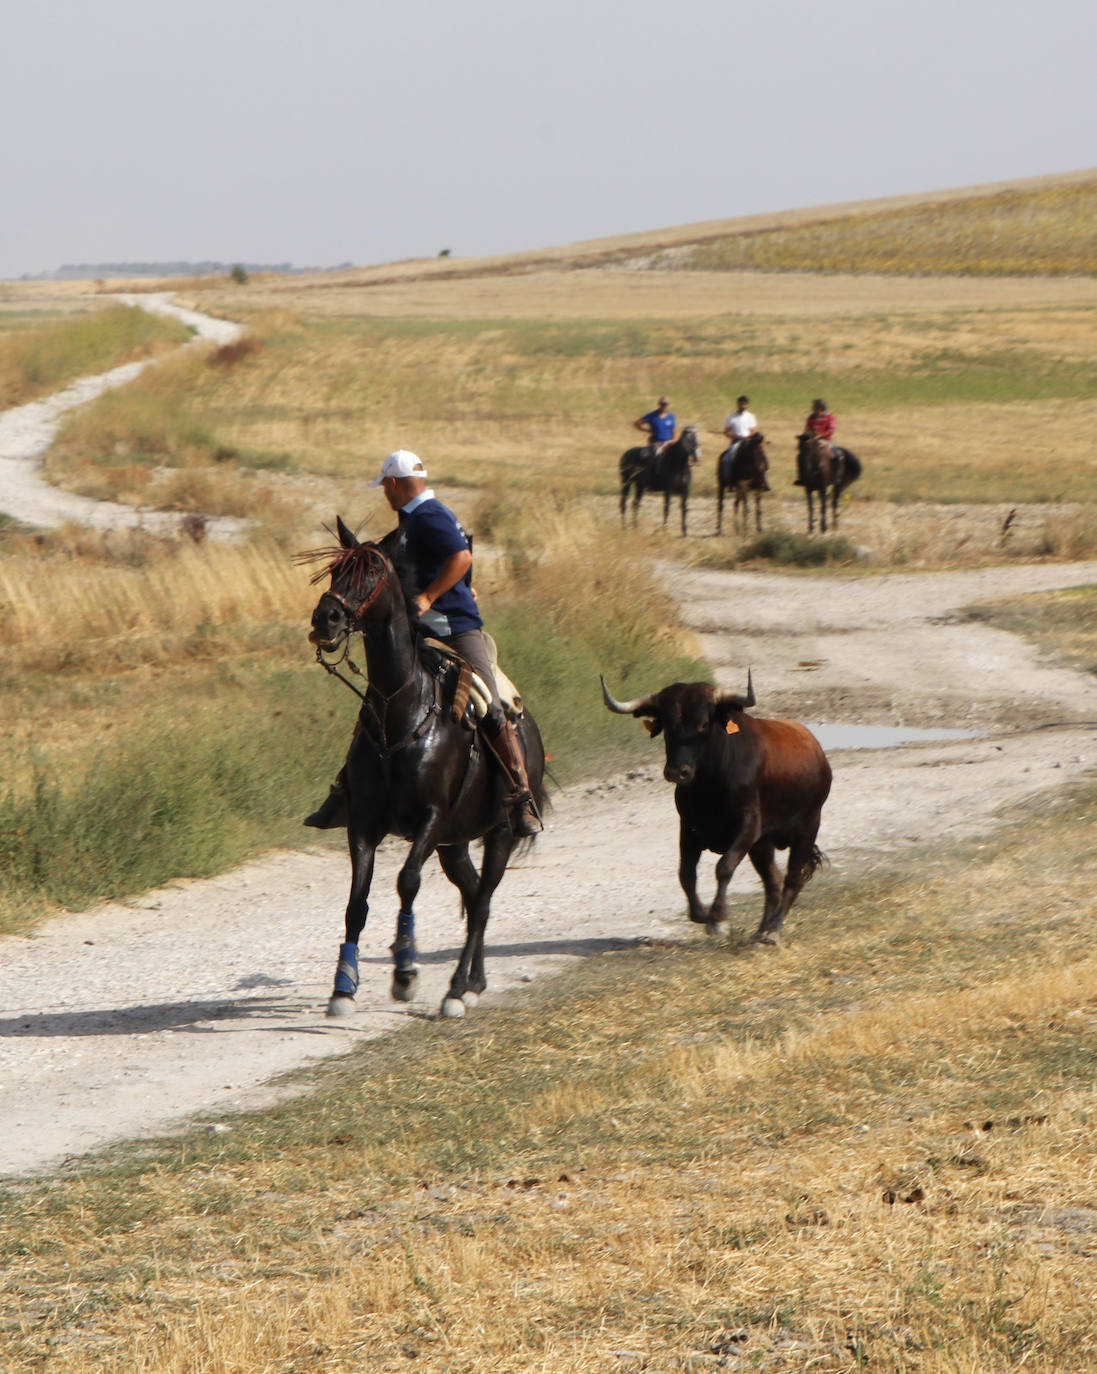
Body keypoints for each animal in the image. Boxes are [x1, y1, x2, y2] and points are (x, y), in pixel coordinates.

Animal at [305, 519, 544, 1027]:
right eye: (335, 571)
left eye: (373, 572)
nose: (326, 619)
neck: (402, 713)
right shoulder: (364, 823)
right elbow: (356, 903)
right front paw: (343, 988)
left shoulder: (430, 819)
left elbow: (407, 882)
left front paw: (405, 971)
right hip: (455, 844)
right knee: (474, 897)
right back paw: (474, 983)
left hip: (499, 833)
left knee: (482, 903)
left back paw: (455, 991)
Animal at [602, 673, 835, 945]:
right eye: (667, 725)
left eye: (703, 724)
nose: (677, 772)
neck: (711, 784)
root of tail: (817, 752)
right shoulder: (689, 829)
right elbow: (686, 874)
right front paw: (702, 914)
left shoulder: (748, 826)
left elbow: (724, 867)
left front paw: (719, 919)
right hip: (763, 845)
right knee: (773, 880)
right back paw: (762, 929)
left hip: (807, 829)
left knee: (793, 878)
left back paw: (774, 930)